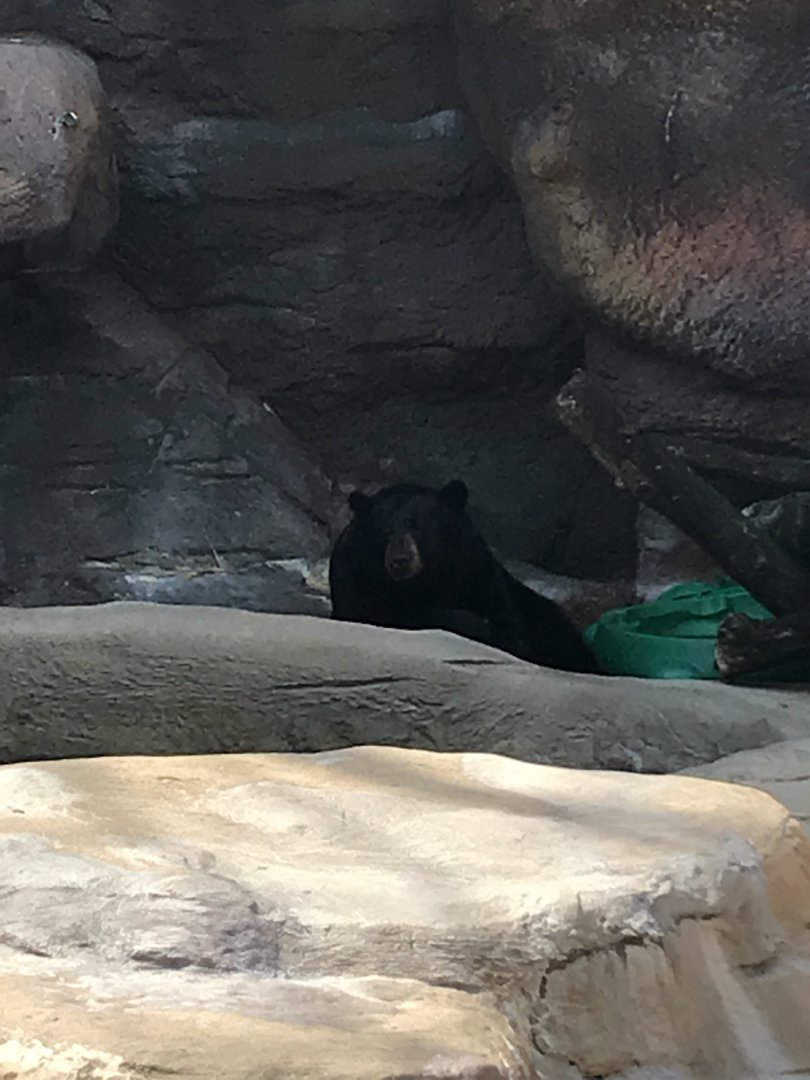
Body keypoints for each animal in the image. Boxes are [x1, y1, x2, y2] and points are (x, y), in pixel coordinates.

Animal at [329, 479, 601, 674]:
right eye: (383, 532)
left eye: (416, 526)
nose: (400, 561)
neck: (423, 582)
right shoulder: (355, 577)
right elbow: (375, 612)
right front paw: (469, 622)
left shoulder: (474, 570)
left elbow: (510, 629)